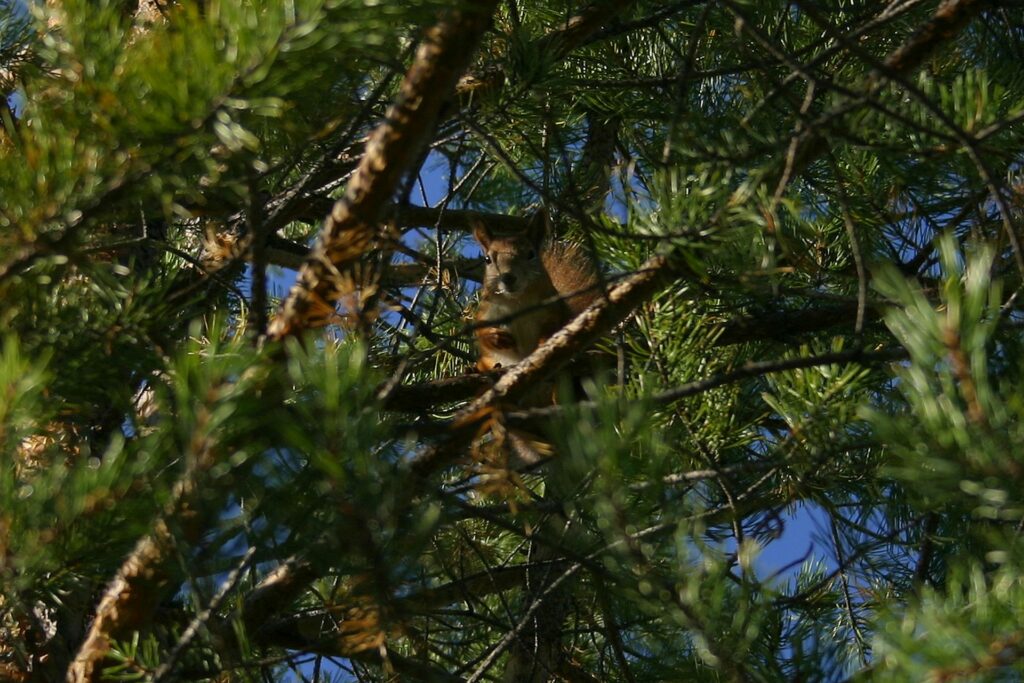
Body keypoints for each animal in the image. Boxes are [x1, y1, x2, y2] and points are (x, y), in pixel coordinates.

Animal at [473, 214, 598, 374]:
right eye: (487, 259)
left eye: (531, 254)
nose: (508, 277)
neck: (516, 301)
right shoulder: (487, 310)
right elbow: (480, 332)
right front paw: (495, 336)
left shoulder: (552, 310)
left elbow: (554, 328)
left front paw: (544, 344)